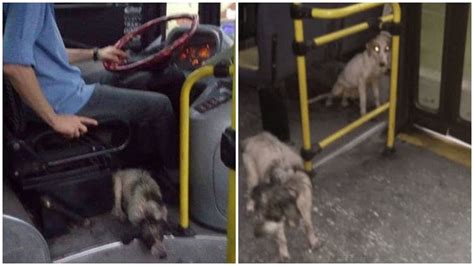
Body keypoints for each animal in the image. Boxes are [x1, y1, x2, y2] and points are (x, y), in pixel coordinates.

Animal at [243, 132, 320, 260]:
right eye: (264, 216)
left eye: (273, 218)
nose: (256, 234)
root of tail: (255, 137)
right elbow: (282, 238)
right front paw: (284, 253)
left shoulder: (305, 208)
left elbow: (308, 225)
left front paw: (313, 241)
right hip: (252, 175)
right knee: (249, 190)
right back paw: (249, 205)